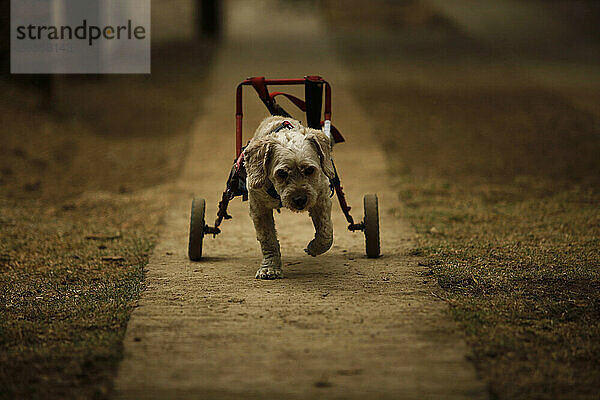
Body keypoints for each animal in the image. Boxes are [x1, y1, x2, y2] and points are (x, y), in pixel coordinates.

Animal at [245, 114, 338, 280]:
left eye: (309, 170)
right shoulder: (258, 206)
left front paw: (313, 248)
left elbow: (326, 232)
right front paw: (270, 268)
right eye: (281, 173)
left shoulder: (321, 198)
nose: (300, 199)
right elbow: (267, 238)